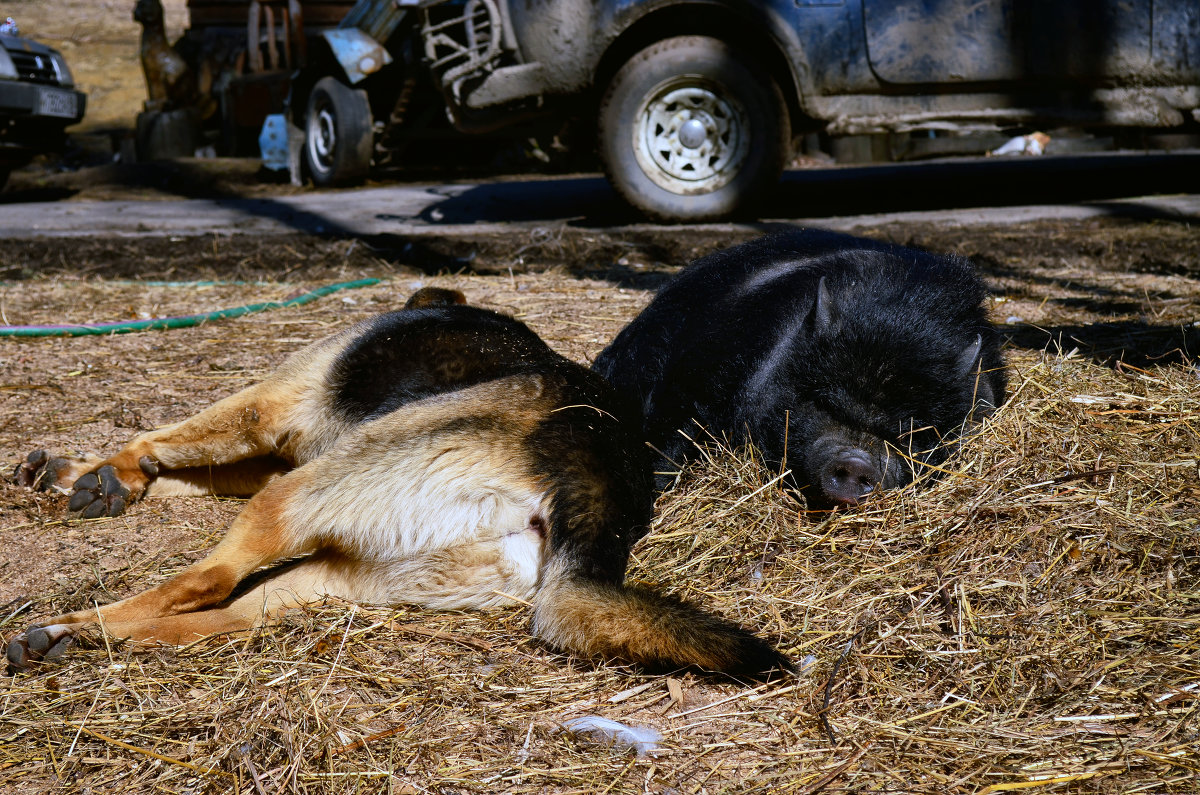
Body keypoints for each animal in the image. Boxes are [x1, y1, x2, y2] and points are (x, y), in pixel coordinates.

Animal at [7, 289, 787, 677]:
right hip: (341, 568)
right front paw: (86, 475)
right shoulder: (276, 451)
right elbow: (184, 472)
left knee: (207, 583)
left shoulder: (270, 412)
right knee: (230, 616)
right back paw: (76, 641)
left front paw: (104, 472)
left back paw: (70, 627)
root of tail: (601, 493)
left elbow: (164, 444)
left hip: (298, 497)